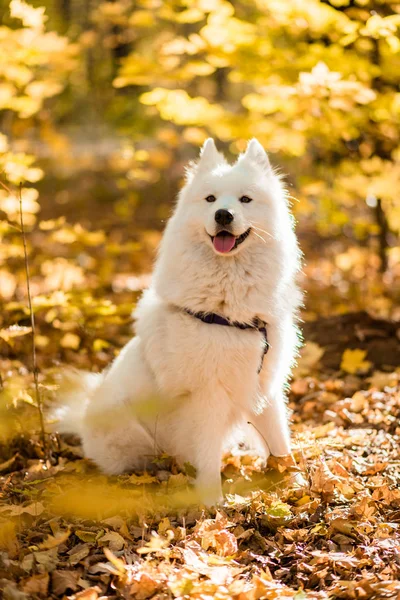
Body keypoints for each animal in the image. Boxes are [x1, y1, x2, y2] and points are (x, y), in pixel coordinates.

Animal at [54, 141, 302, 506]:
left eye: (245, 199)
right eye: (210, 199)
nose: (223, 215)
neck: (227, 305)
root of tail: (83, 420)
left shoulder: (263, 383)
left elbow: (279, 441)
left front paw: (296, 483)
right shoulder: (207, 394)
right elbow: (209, 454)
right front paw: (212, 502)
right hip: (130, 434)